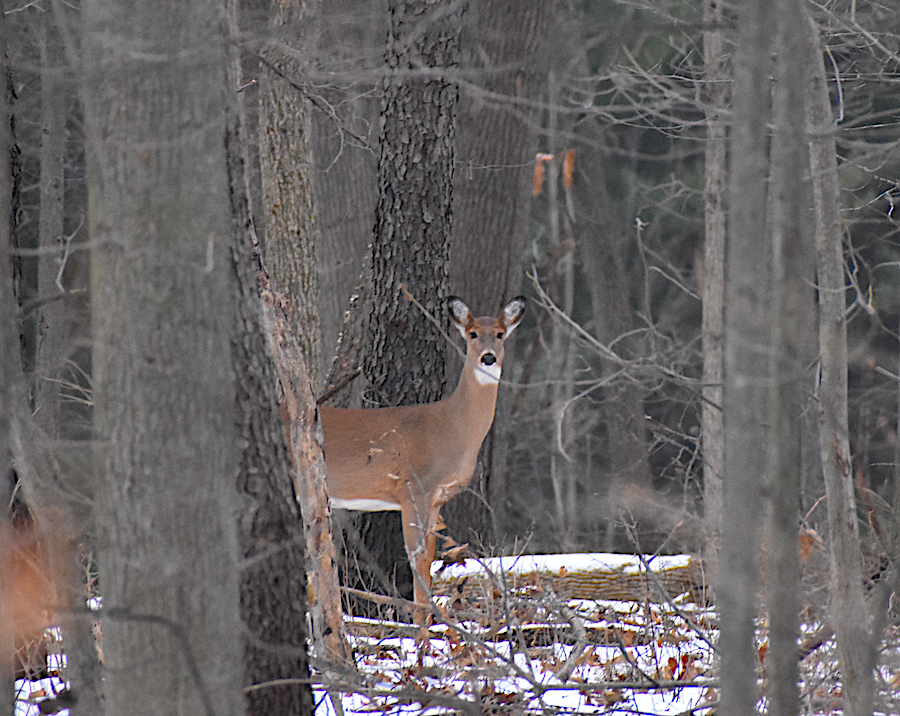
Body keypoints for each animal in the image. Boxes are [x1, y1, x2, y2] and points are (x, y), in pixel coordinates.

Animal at [319, 295, 526, 620]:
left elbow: (427, 562)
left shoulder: (437, 498)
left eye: (500, 334)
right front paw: (420, 630)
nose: (489, 358)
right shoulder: (413, 489)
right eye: (472, 334)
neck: (452, 428)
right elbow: (416, 562)